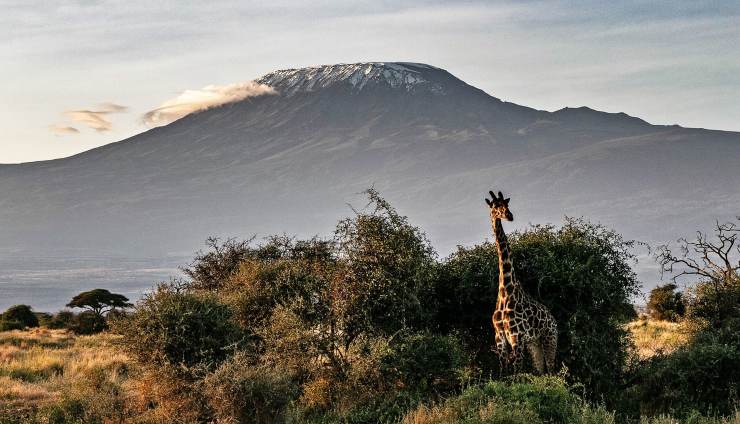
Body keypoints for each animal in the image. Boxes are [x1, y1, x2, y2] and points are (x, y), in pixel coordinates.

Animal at [482, 190, 556, 374]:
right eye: (495, 206)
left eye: (507, 205)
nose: (510, 216)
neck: (505, 290)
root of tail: (553, 319)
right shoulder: (499, 336)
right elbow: (504, 372)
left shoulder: (517, 336)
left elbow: (517, 372)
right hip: (534, 344)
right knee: (541, 371)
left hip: (550, 339)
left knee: (553, 371)